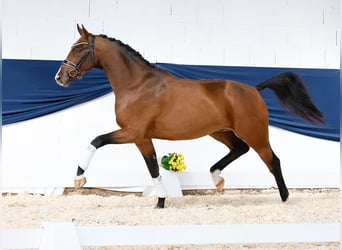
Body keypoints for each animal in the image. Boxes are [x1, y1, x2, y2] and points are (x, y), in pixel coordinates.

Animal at [55, 24, 324, 209]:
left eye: (79, 48)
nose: (60, 77)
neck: (137, 84)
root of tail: (254, 89)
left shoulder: (135, 134)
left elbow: (100, 142)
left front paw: (79, 179)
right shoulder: (141, 137)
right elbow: (151, 167)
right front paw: (161, 201)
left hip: (255, 133)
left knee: (272, 160)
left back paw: (285, 197)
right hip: (220, 132)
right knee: (240, 149)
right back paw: (217, 179)